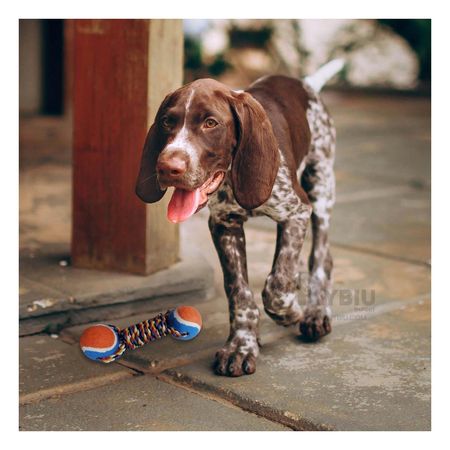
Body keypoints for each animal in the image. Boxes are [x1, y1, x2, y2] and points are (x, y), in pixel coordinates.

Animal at [135, 59, 342, 376]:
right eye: (167, 121)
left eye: (210, 123)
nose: (167, 167)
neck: (233, 178)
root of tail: (305, 83)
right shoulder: (225, 225)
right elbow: (239, 291)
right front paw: (241, 345)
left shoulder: (297, 211)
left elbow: (277, 285)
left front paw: (289, 311)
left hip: (321, 186)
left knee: (321, 257)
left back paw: (315, 313)